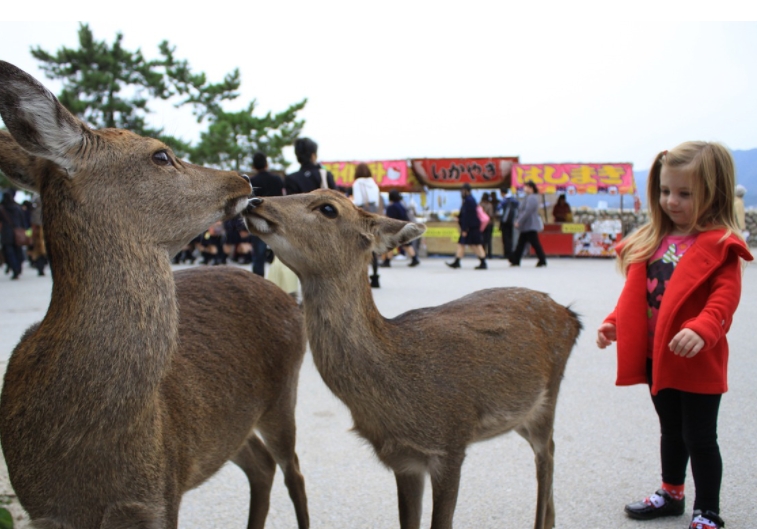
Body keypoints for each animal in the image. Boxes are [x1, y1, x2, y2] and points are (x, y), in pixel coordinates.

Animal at [0, 62, 310, 528]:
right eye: (161, 155)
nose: (242, 178)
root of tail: (290, 301)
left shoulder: (162, 493)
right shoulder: (44, 509)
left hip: (283, 394)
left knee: (293, 471)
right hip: (227, 426)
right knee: (262, 464)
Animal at [242, 190, 580, 528]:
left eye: (328, 208)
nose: (255, 200)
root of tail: (571, 317)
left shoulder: (451, 443)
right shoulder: (403, 460)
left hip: (548, 396)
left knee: (547, 454)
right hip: (521, 415)